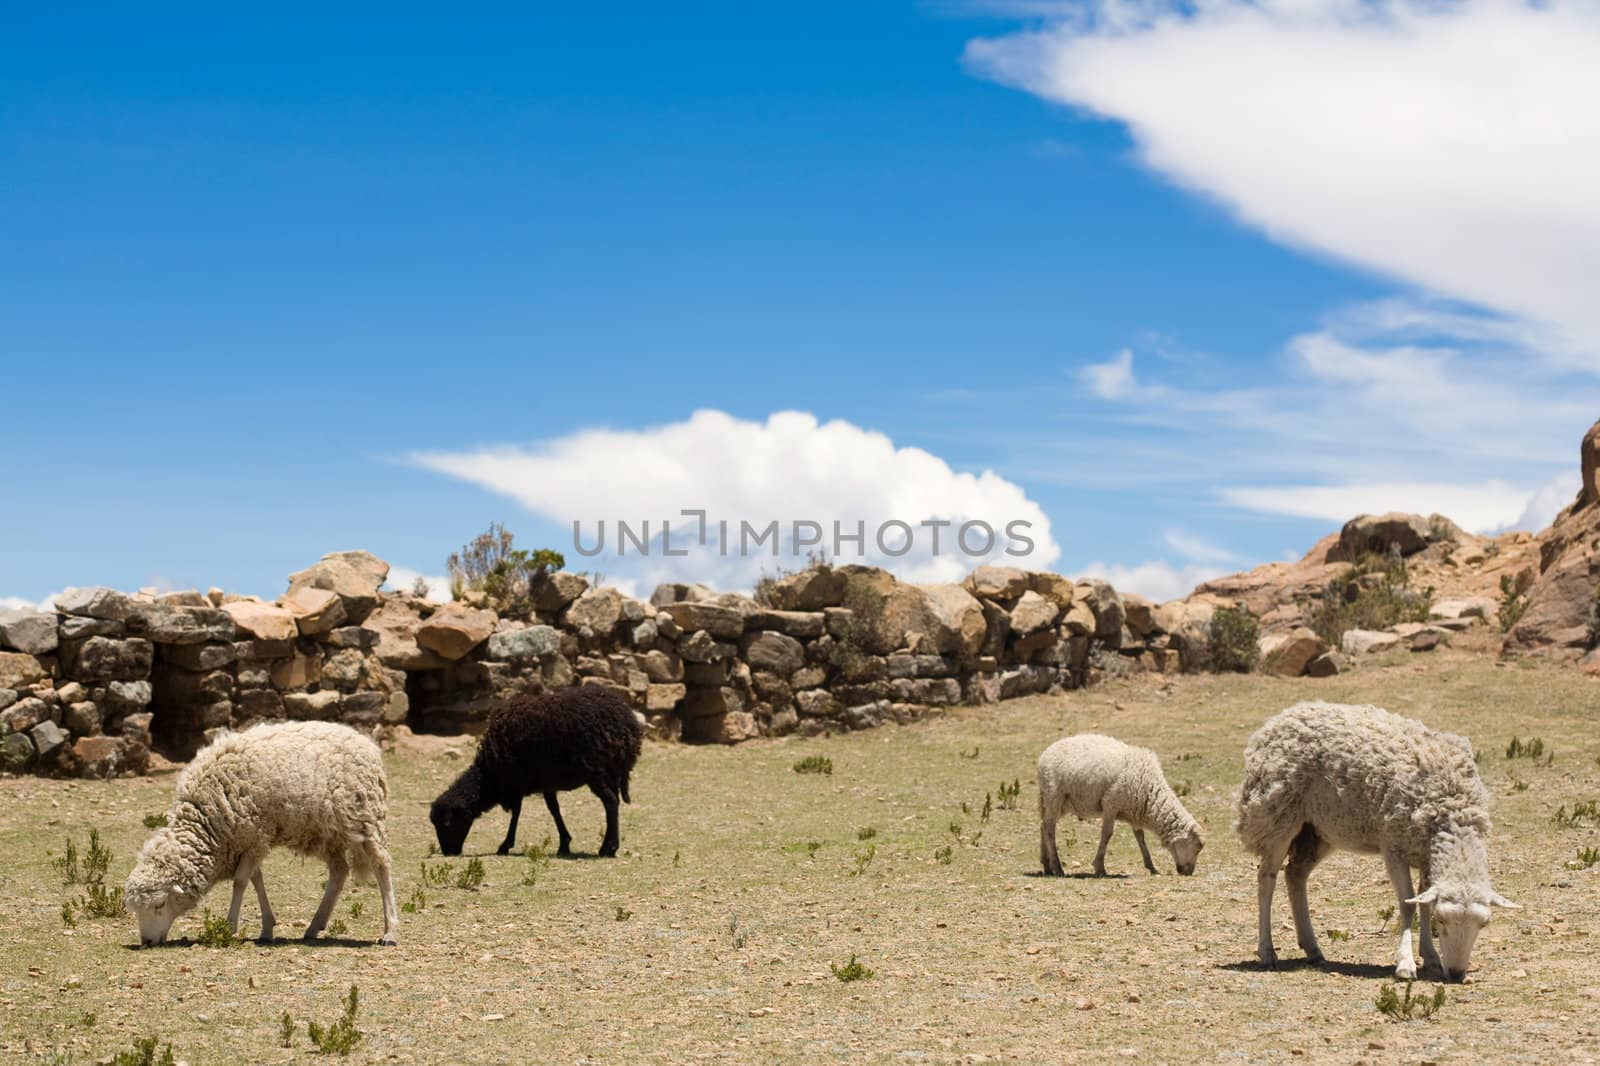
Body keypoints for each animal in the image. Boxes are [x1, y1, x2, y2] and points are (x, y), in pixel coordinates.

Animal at [123, 717, 398, 941]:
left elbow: (240, 882)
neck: (207, 822)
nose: (147, 942)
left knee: (381, 866)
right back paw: (314, 926)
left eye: (159, 905)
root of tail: (365, 742)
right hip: (326, 831)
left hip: (365, 817)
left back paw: (390, 931)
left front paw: (230, 927)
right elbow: (256, 879)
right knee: (339, 871)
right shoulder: (248, 839)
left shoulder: (254, 835)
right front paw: (267, 928)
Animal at [435, 688, 646, 857]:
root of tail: (628, 724)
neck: (489, 776)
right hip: (611, 772)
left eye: (447, 824)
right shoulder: (546, 783)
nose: (448, 852)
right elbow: (554, 810)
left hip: (597, 772)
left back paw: (608, 848)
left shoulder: (517, 781)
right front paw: (564, 844)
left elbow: (516, 812)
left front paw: (505, 845)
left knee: (610, 802)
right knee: (614, 801)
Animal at [1036, 736, 1203, 877]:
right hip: (1054, 796)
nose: (1189, 872)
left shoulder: (1135, 811)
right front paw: (1100, 867)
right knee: (1049, 829)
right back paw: (1057, 868)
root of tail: (1045, 754)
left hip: (1056, 802)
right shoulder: (1111, 804)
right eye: (1197, 847)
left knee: (1043, 826)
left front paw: (1152, 867)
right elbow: (1107, 834)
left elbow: (1140, 837)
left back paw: (1047, 866)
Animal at [1228, 697, 1516, 979]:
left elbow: (1422, 902)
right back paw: (1267, 952)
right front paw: (1405, 964)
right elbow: (1408, 904)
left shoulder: (1425, 853)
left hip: (1320, 829)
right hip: (1278, 814)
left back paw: (1313, 949)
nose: (1456, 974)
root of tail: (1283, 715)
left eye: (1484, 924)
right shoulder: (1393, 846)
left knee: (1295, 874)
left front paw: (1431, 957)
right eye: (1442, 920)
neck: (1452, 814)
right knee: (1267, 878)